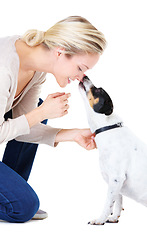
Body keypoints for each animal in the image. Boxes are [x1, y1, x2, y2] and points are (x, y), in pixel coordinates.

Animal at [79, 76, 147, 225]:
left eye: (99, 90)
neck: (108, 128)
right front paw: (114, 217)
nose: (85, 76)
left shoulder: (116, 178)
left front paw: (100, 219)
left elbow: (108, 202)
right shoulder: (116, 181)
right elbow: (118, 200)